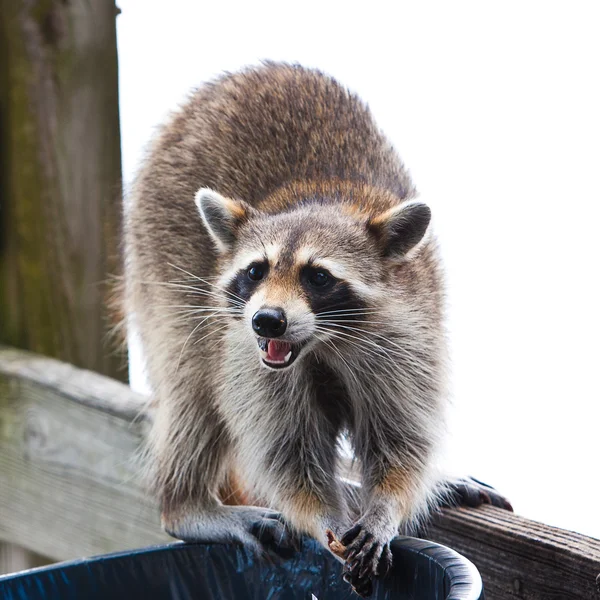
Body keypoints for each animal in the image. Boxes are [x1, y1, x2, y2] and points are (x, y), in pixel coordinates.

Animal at [125, 63, 506, 592]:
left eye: (318, 276)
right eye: (256, 271)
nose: (268, 320)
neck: (321, 344)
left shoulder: (408, 338)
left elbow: (402, 442)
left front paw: (384, 506)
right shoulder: (248, 355)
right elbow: (287, 457)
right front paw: (326, 515)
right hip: (162, 262)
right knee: (193, 388)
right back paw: (185, 503)